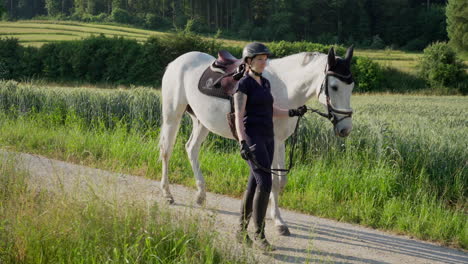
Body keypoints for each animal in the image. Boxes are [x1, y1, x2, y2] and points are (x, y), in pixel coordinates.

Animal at [159, 46, 352, 235]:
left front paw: (270, 214)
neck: (285, 88)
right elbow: (273, 181)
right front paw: (278, 221)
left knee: (191, 148)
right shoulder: (270, 142)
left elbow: (280, 181)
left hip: (201, 121)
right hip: (172, 116)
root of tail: (176, 62)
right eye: (334, 87)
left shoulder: (279, 142)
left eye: (351, 87)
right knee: (167, 151)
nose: (345, 129)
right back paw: (167, 194)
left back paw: (200, 195)